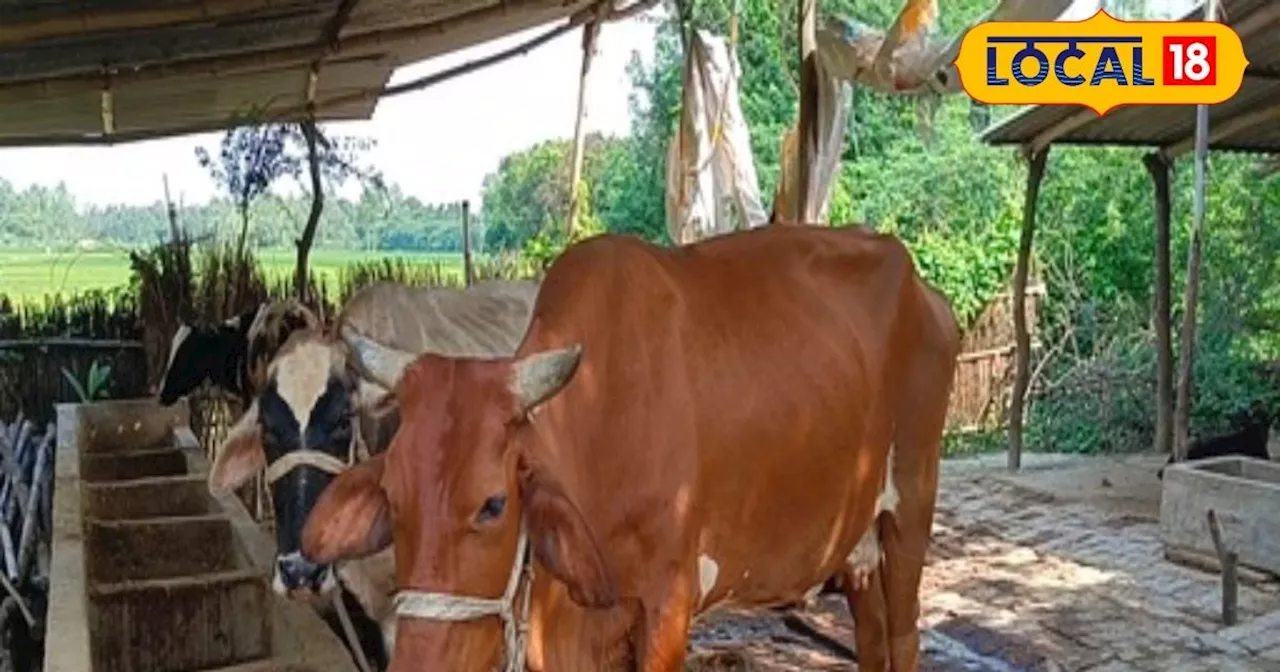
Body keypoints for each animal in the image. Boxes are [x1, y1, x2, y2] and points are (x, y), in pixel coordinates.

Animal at [302, 226, 962, 670]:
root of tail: (923, 288)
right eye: (393, 499)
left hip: (911, 507)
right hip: (857, 544)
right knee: (872, 641)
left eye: (493, 504)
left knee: (903, 639)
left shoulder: (669, 604)